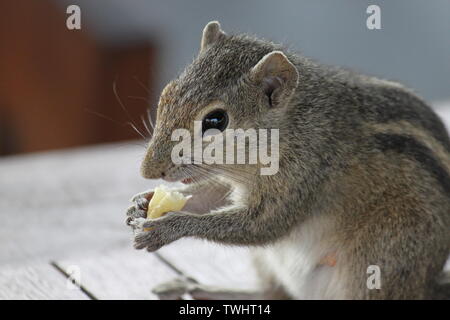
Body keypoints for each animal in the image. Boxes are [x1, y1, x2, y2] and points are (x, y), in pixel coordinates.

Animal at [125, 21, 450, 300]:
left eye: (216, 120)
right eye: (166, 93)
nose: (148, 171)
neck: (292, 125)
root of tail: (425, 287)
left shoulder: (306, 173)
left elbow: (263, 225)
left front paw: (169, 227)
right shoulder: (233, 181)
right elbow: (209, 194)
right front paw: (141, 202)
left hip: (379, 258)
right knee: (273, 294)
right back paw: (200, 287)